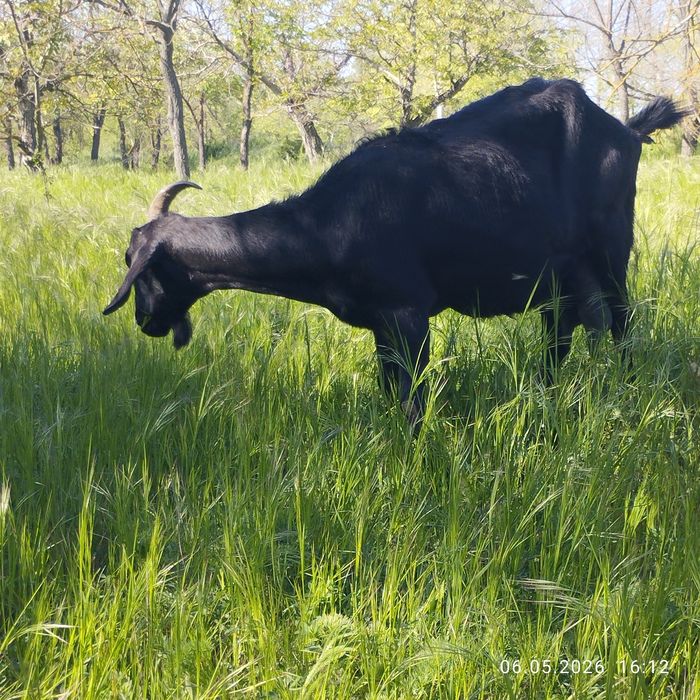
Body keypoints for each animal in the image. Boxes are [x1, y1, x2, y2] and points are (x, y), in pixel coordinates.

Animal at [104, 78, 686, 427]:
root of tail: (625, 128)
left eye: (143, 269)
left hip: (612, 251)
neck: (330, 223)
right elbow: (388, 389)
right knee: (565, 331)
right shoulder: (380, 325)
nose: (144, 321)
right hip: (560, 275)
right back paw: (546, 394)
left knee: (621, 323)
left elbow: (411, 402)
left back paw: (628, 391)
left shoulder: (409, 316)